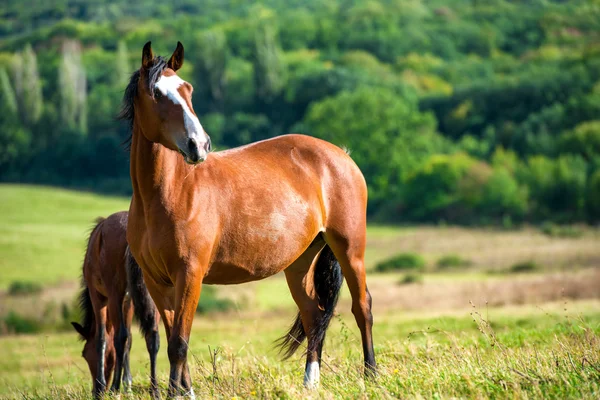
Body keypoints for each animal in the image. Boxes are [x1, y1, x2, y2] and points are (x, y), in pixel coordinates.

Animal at [71, 211, 163, 398]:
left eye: (85, 354)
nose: (94, 389)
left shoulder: (98, 297)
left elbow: (103, 338)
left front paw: (103, 386)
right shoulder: (128, 302)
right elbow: (130, 340)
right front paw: (128, 386)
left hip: (113, 296)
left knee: (119, 337)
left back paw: (114, 387)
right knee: (153, 336)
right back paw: (154, 389)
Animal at [121, 42, 376, 398]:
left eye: (188, 89)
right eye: (156, 92)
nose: (199, 145)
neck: (170, 194)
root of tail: (341, 155)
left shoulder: (190, 276)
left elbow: (179, 344)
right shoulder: (158, 282)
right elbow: (173, 339)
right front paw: (184, 391)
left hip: (350, 249)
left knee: (362, 307)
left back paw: (371, 376)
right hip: (300, 262)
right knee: (314, 315)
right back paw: (310, 383)